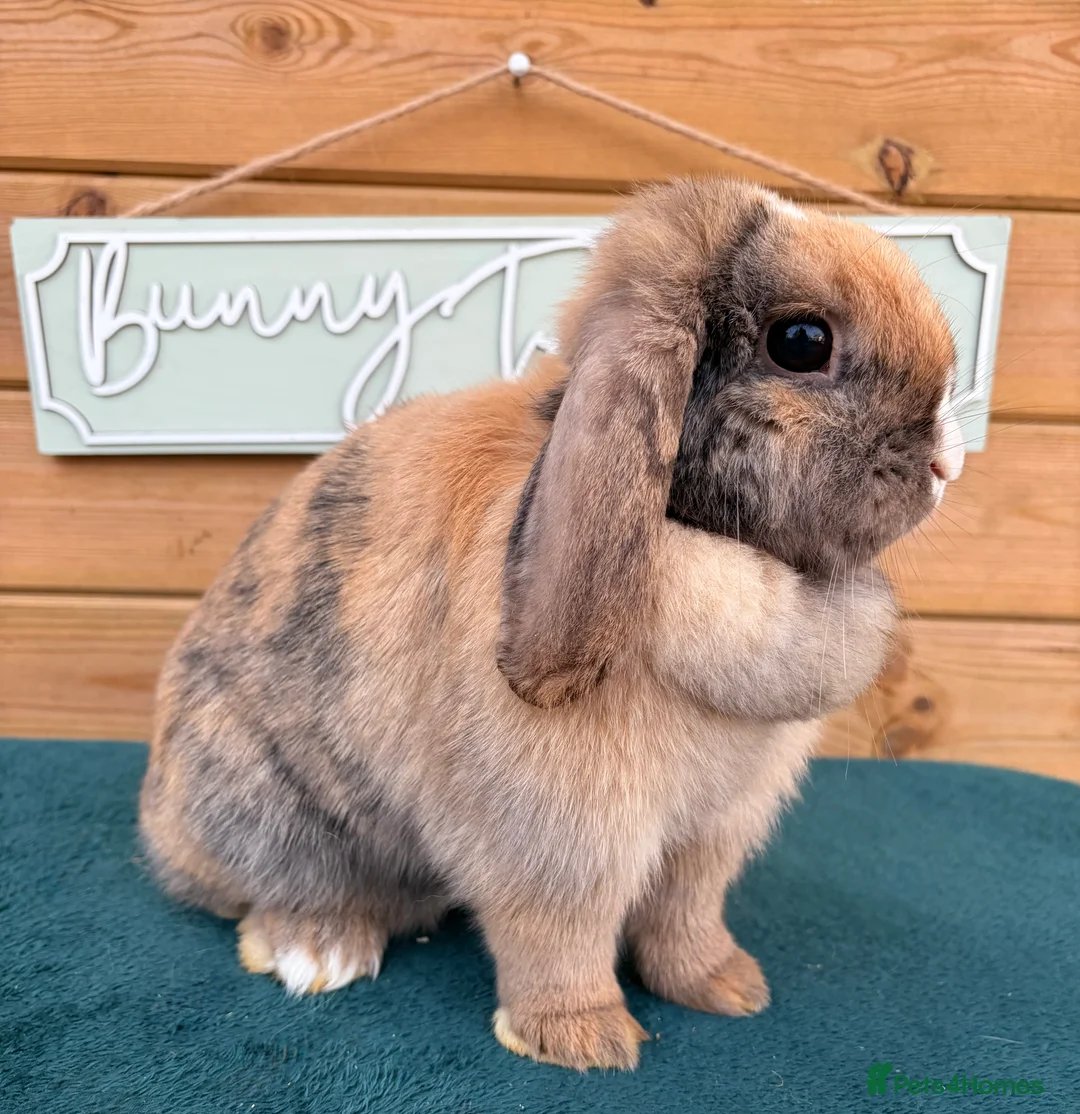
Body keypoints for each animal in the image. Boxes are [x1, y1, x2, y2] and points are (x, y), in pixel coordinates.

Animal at [140, 177, 965, 1071]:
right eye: (802, 341)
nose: (947, 464)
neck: (689, 531)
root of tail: (160, 823)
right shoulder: (562, 838)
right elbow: (560, 932)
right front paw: (583, 1038)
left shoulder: (714, 832)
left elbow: (686, 913)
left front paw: (727, 988)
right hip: (266, 806)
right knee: (277, 890)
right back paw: (318, 951)